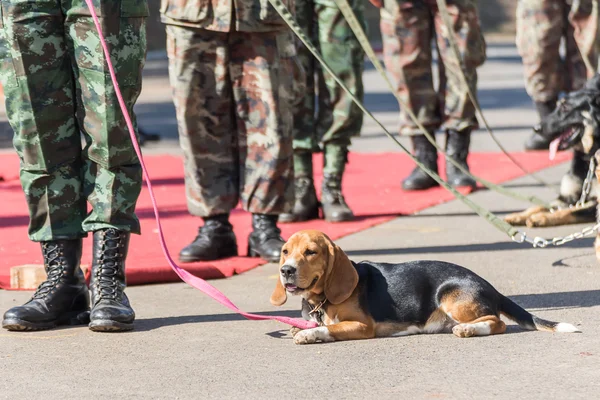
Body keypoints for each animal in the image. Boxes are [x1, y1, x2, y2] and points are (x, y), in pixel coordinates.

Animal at [272, 230, 580, 346]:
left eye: (311, 252)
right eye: (285, 251)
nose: (286, 270)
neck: (320, 300)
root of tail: (489, 285)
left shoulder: (362, 326)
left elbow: (330, 328)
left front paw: (310, 335)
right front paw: (303, 330)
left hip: (449, 294)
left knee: (498, 322)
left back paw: (468, 330)